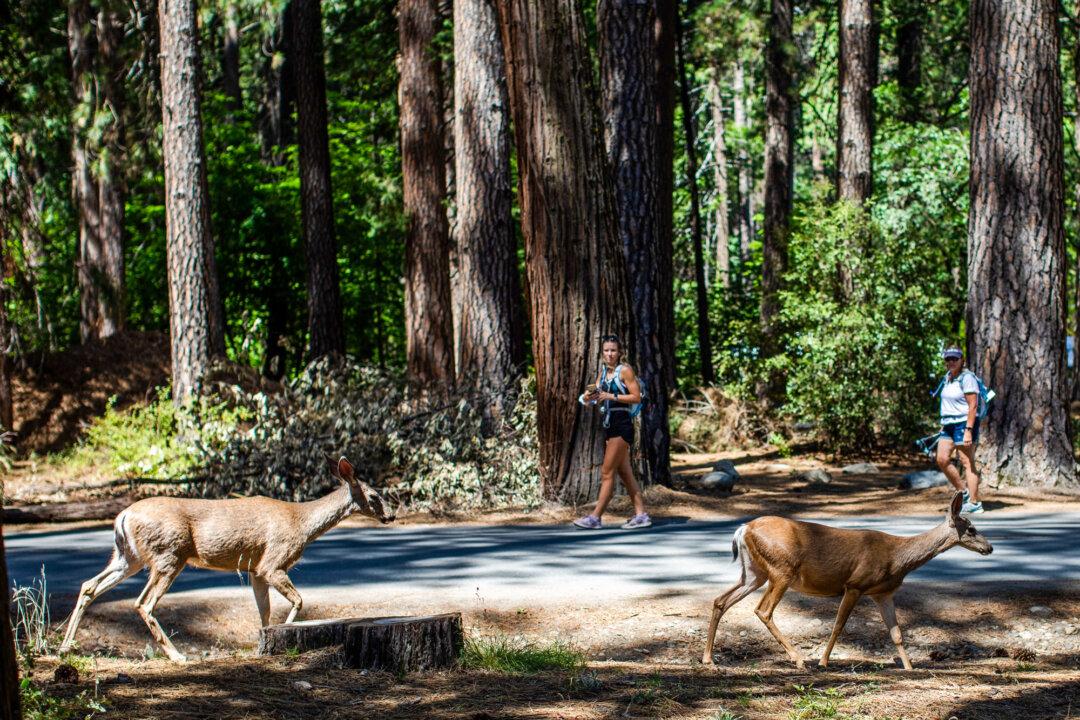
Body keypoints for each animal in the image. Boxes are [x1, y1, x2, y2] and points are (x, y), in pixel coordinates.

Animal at [58, 456, 394, 662]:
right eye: (374, 496)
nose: (392, 515)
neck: (301, 523)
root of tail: (122, 516)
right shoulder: (273, 562)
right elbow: (298, 601)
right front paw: (285, 634)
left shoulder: (255, 570)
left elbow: (264, 613)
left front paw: (264, 644)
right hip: (169, 554)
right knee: (143, 603)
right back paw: (178, 656)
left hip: (128, 556)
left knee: (89, 585)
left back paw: (64, 647)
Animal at [701, 491, 992, 670]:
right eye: (972, 529)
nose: (989, 548)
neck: (897, 558)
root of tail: (744, 528)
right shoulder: (855, 585)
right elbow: (838, 626)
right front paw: (823, 662)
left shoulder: (883, 593)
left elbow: (896, 633)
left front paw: (910, 668)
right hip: (781, 569)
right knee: (763, 610)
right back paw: (799, 659)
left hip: (754, 572)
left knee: (720, 600)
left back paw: (708, 659)